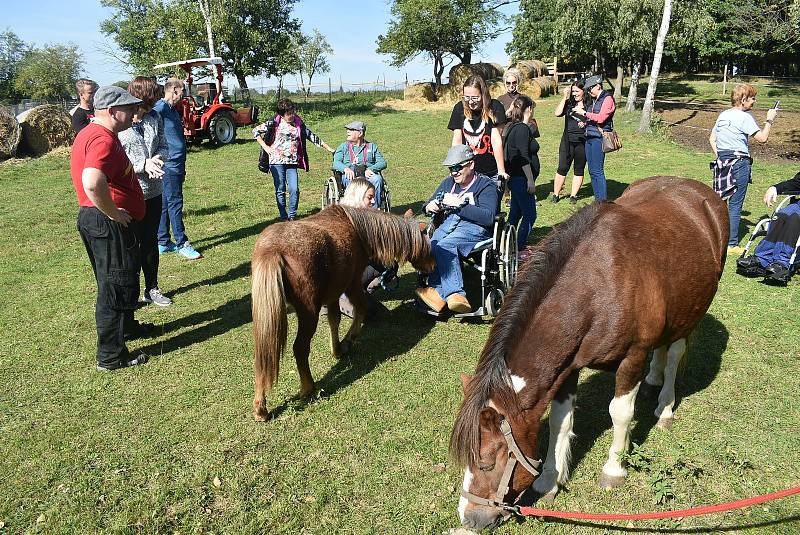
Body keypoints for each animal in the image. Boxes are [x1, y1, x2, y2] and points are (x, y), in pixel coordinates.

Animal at [252, 204, 434, 418]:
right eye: (428, 242)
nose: (433, 266)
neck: (357, 228)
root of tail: (271, 250)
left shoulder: (332, 294)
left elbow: (334, 320)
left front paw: (337, 349)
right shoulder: (352, 284)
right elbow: (360, 309)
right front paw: (347, 342)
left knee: (264, 353)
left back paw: (261, 408)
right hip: (308, 312)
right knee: (300, 348)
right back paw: (308, 388)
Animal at [446, 178, 728, 528]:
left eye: (486, 462)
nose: (469, 518)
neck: (598, 285)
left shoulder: (632, 357)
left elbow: (620, 413)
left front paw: (614, 470)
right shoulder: (566, 366)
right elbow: (560, 420)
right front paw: (549, 479)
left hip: (693, 313)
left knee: (675, 353)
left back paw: (665, 406)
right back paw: (654, 377)